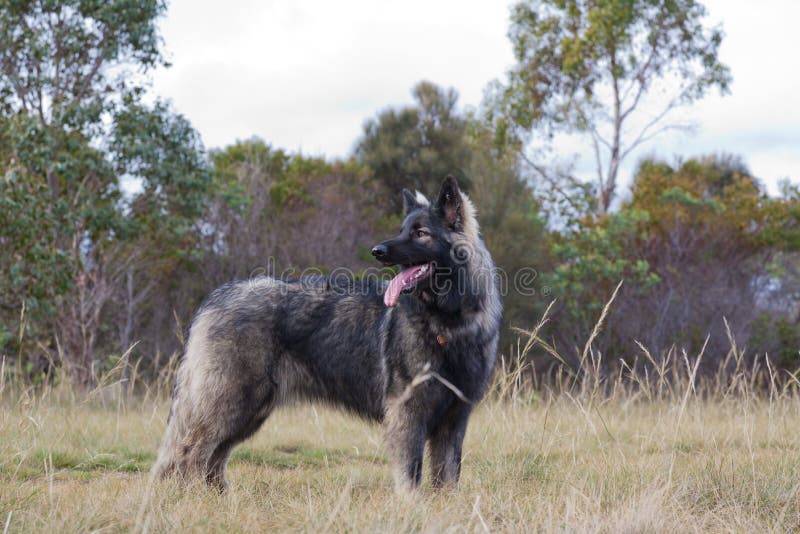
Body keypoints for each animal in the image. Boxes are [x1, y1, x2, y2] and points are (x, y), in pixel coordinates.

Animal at [152, 178, 500, 496]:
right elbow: (411, 472)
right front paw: (412, 507)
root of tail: (217, 296)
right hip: (231, 401)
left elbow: (448, 475)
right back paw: (194, 498)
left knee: (214, 456)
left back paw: (221, 498)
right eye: (403, 230)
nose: (378, 251)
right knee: (192, 452)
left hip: (250, 410)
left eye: (421, 233)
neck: (448, 320)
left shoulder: (454, 420)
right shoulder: (408, 412)